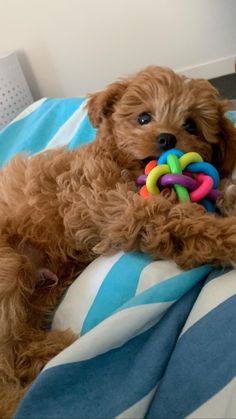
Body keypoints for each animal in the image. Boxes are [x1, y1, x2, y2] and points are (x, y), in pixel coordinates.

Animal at [0, 65, 236, 416]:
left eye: (191, 124)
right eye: (143, 118)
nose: (167, 139)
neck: (119, 160)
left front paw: (228, 198)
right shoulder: (112, 205)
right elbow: (173, 218)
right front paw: (228, 234)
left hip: (37, 293)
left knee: (17, 346)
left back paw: (52, 350)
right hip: (8, 266)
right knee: (6, 356)